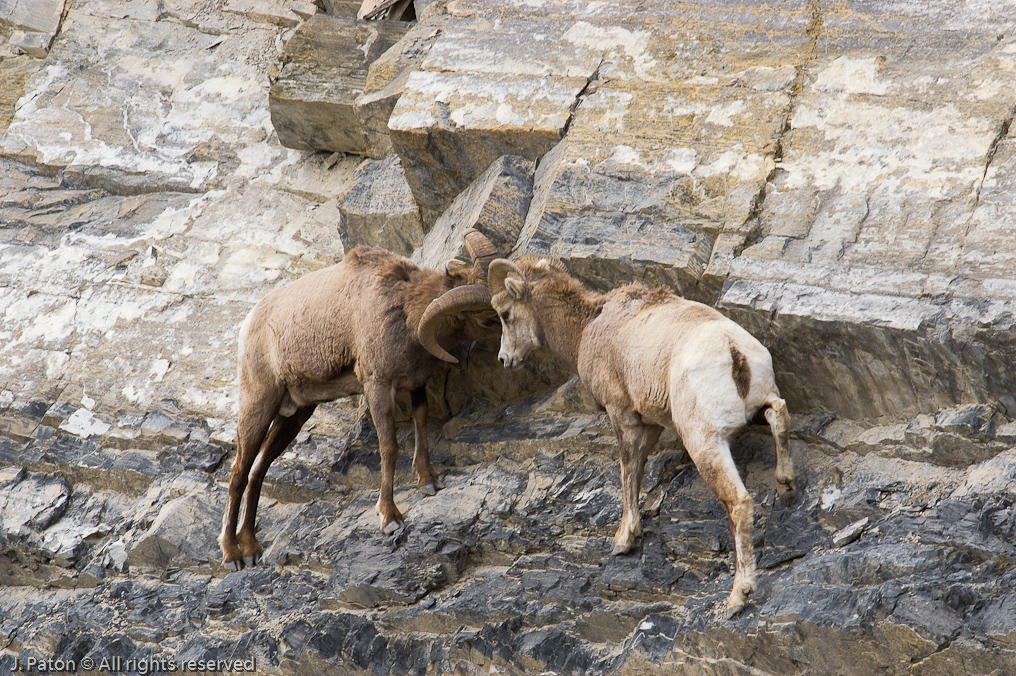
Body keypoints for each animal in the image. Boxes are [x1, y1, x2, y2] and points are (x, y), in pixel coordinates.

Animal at [219, 229, 499, 565]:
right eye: (486, 320)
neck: (404, 310)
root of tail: (249, 324)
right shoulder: (378, 386)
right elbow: (389, 448)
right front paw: (390, 518)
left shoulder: (415, 383)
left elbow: (421, 423)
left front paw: (429, 480)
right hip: (259, 405)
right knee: (238, 473)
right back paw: (232, 555)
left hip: (294, 415)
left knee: (258, 472)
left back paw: (251, 548)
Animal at [487, 257, 796, 618]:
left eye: (505, 313)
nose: (504, 359)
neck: (587, 327)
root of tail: (734, 351)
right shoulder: (651, 424)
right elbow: (638, 468)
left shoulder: (623, 415)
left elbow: (628, 469)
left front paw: (624, 540)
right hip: (758, 405)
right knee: (778, 414)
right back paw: (786, 485)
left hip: (704, 443)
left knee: (739, 503)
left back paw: (737, 597)